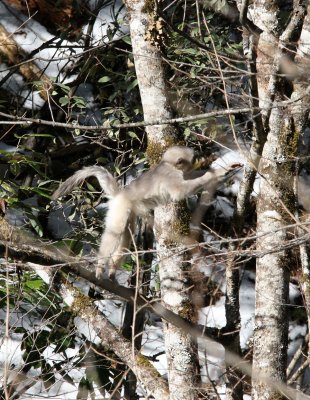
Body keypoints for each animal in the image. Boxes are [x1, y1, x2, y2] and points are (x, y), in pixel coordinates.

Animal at [52, 145, 237, 280]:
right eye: (194, 158)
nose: (200, 158)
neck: (167, 165)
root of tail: (120, 194)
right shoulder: (170, 175)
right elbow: (180, 192)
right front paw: (212, 175)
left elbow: (191, 178)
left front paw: (222, 170)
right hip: (119, 208)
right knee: (115, 232)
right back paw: (100, 266)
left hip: (129, 211)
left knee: (127, 236)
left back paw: (112, 269)